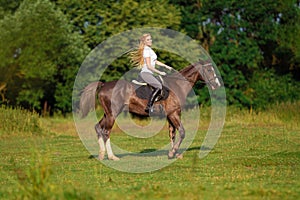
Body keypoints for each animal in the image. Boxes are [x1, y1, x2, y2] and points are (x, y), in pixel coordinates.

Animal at [78, 59, 221, 161]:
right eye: (209, 69)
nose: (217, 85)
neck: (178, 85)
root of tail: (103, 85)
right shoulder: (174, 113)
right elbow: (182, 132)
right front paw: (173, 152)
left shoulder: (170, 115)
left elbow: (172, 134)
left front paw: (174, 153)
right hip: (113, 114)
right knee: (106, 132)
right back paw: (112, 157)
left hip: (107, 114)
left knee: (98, 127)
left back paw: (102, 155)